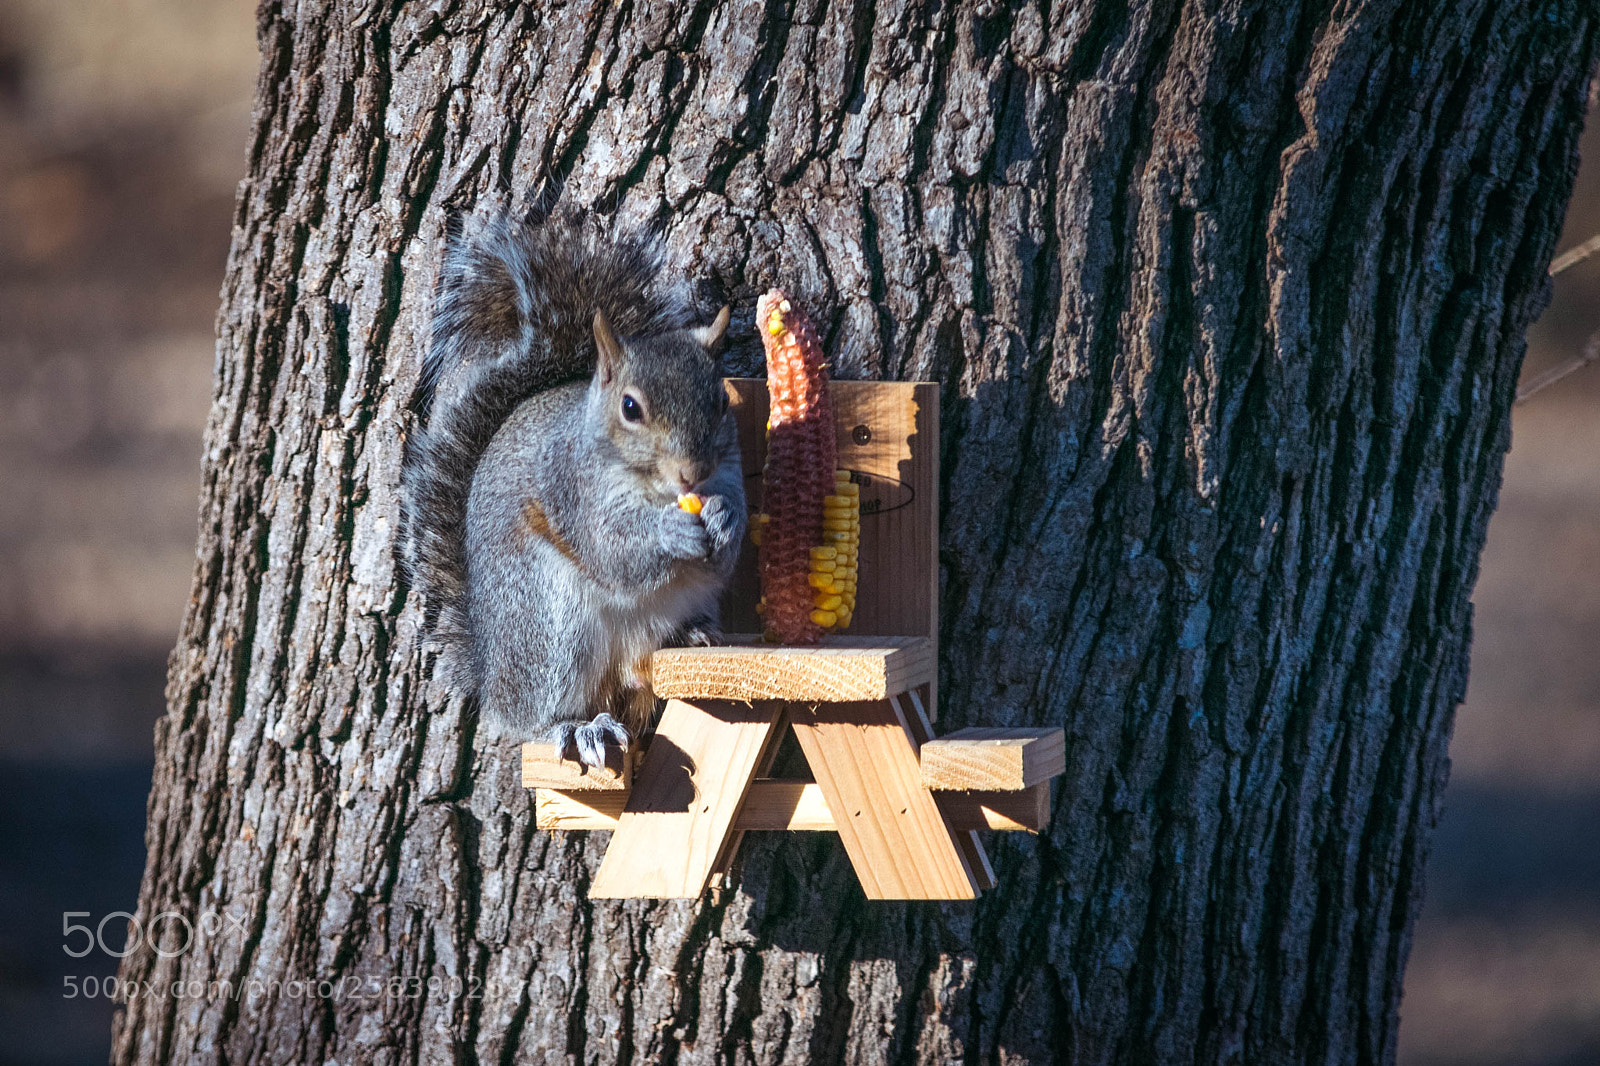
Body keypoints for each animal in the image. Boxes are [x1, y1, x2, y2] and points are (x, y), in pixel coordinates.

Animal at [400, 213, 746, 769]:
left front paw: (725, 519)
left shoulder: (730, 472)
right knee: (537, 715)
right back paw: (577, 727)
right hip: (552, 626)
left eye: (719, 402)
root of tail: (492, 677)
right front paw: (669, 534)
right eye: (630, 407)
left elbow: (726, 552)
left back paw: (690, 634)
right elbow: (613, 554)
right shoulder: (571, 491)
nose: (691, 474)